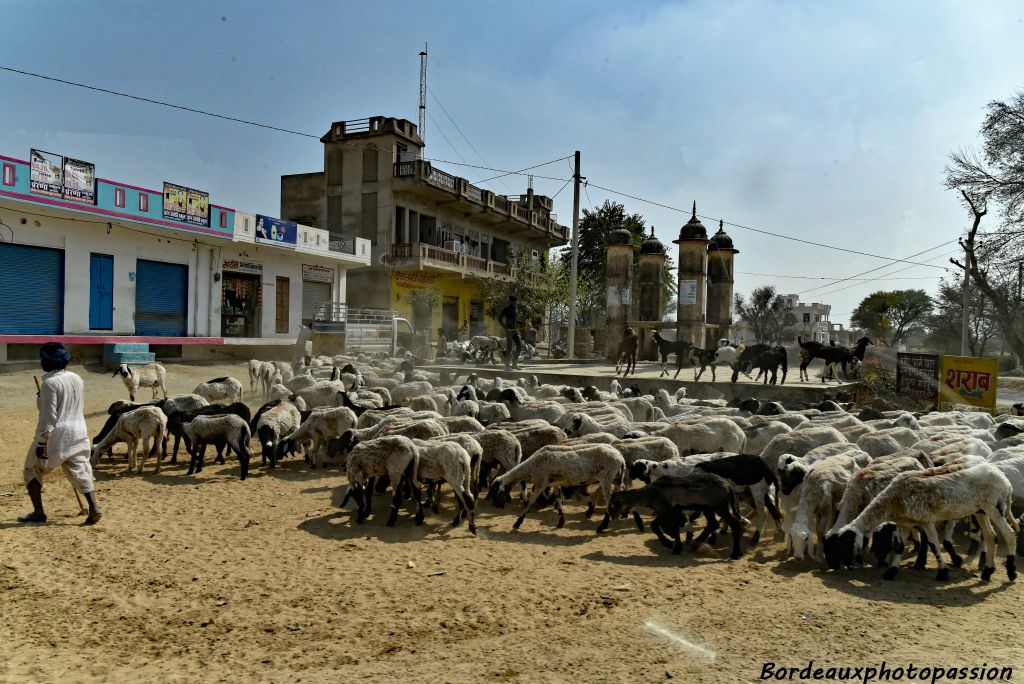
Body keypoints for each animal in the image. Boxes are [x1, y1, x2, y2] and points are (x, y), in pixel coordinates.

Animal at [485, 440, 626, 532]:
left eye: (495, 490)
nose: (497, 506)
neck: (530, 468)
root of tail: (620, 458)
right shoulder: (556, 484)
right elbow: (558, 502)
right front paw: (561, 521)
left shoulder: (541, 483)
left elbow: (529, 502)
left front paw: (517, 523)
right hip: (615, 479)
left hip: (606, 479)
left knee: (609, 501)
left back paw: (602, 526)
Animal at [831, 458, 1015, 581]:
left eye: (846, 543)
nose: (844, 566)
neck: (893, 501)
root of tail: (1004, 478)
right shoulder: (905, 523)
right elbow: (900, 547)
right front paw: (892, 571)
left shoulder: (926, 520)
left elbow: (934, 545)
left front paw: (942, 572)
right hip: (980, 510)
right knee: (992, 537)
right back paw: (987, 571)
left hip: (995, 506)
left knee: (1009, 534)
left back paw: (1011, 572)